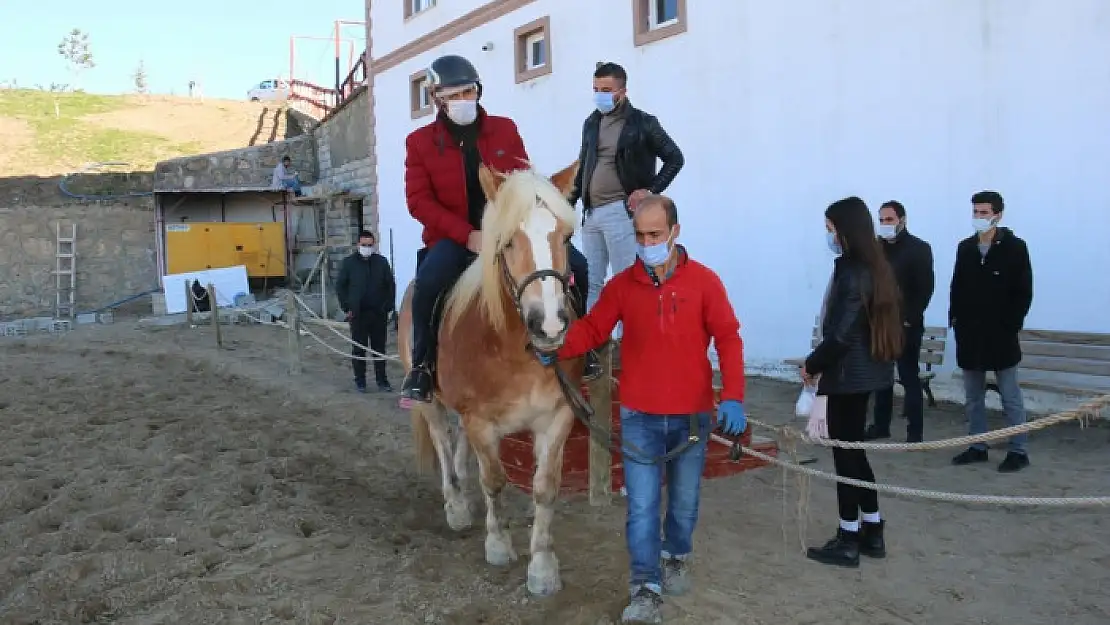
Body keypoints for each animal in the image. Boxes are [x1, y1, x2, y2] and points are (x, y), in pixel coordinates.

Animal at [399, 159, 590, 595]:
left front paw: (542, 567)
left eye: (567, 236)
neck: (517, 350)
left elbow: (545, 487)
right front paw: (499, 544)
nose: (549, 325)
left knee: (459, 448)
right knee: (442, 441)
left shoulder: (556, 418)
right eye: (506, 242)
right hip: (430, 401)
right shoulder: (481, 421)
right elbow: (495, 480)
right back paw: (456, 506)